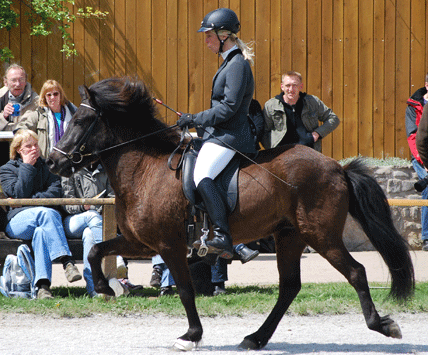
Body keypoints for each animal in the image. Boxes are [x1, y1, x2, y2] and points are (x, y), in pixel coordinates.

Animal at [46, 76, 414, 352]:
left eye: (81, 121)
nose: (53, 161)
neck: (145, 168)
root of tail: (337, 168)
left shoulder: (169, 245)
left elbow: (185, 290)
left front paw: (191, 336)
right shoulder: (140, 242)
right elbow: (95, 250)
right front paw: (105, 288)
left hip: (321, 236)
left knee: (356, 272)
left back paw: (382, 325)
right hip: (290, 236)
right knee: (289, 286)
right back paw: (256, 338)